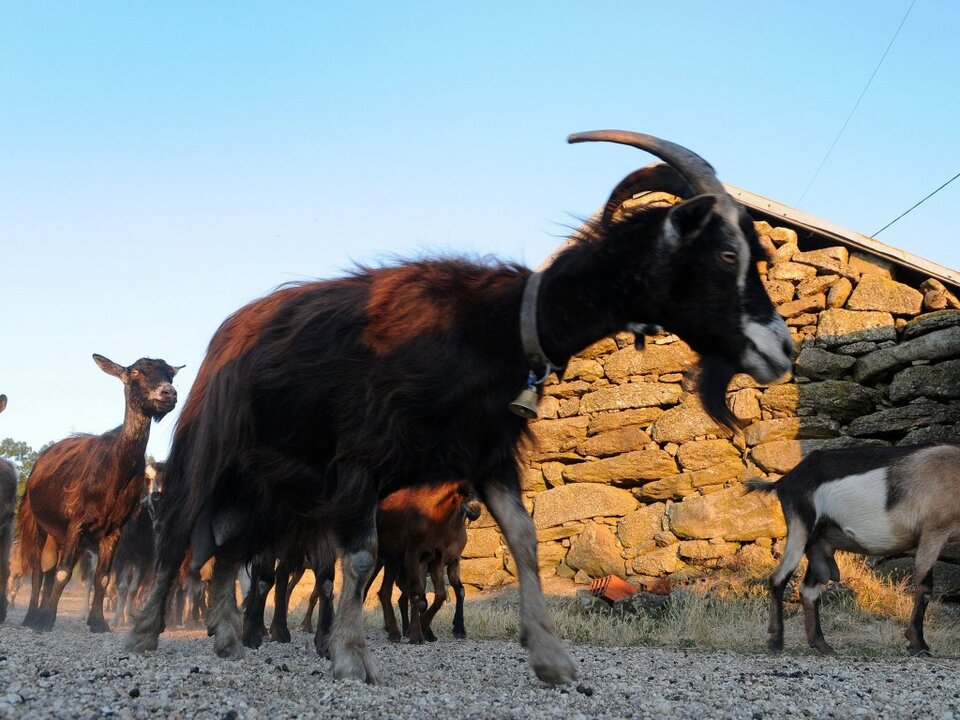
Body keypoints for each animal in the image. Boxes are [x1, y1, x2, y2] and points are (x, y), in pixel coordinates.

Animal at [18, 354, 180, 632]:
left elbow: (103, 577)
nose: (168, 393)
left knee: (49, 571)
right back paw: (32, 617)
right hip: (36, 524)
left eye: (170, 374)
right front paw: (47, 619)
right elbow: (63, 572)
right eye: (136, 372)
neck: (114, 471)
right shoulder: (75, 524)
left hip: (59, 535)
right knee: (40, 571)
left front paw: (98, 622)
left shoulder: (113, 531)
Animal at [373, 481, 481, 643]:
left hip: (394, 562)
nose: (475, 511)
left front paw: (458, 629)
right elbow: (420, 597)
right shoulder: (417, 559)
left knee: (390, 593)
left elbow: (453, 592)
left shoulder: (448, 560)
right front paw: (420, 634)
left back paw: (396, 632)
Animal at [748, 444, 960, 656]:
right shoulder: (933, 533)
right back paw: (775, 641)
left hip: (819, 545)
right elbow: (924, 588)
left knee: (808, 591)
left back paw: (822, 645)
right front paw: (918, 644)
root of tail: (784, 481)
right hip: (800, 529)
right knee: (778, 578)